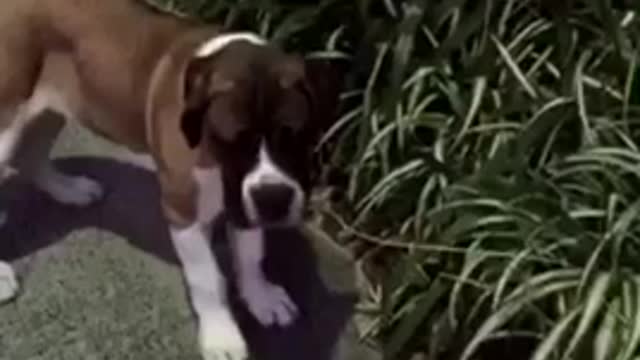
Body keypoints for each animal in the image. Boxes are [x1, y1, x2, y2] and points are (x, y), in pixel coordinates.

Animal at [0, 1, 342, 358]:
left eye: (295, 137)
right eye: (230, 140)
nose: (273, 199)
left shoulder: (243, 199)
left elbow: (250, 254)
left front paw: (260, 297)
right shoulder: (182, 208)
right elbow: (206, 277)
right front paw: (221, 335)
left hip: (55, 109)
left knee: (33, 153)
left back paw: (70, 189)